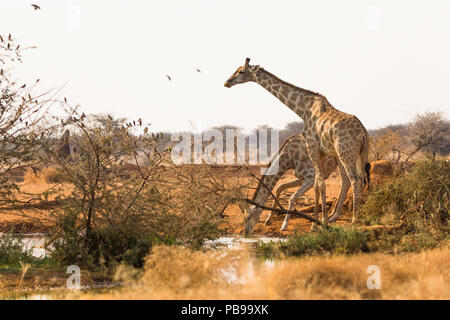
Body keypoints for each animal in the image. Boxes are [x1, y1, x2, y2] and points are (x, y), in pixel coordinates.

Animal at [225, 57, 370, 228]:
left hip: (345, 153)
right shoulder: (319, 154)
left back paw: (354, 220)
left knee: (354, 180)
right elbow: (317, 185)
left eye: (241, 71)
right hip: (358, 153)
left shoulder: (312, 148)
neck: (304, 109)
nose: (227, 82)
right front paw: (318, 222)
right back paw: (340, 216)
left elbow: (319, 184)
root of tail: (363, 133)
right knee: (354, 179)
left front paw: (318, 223)